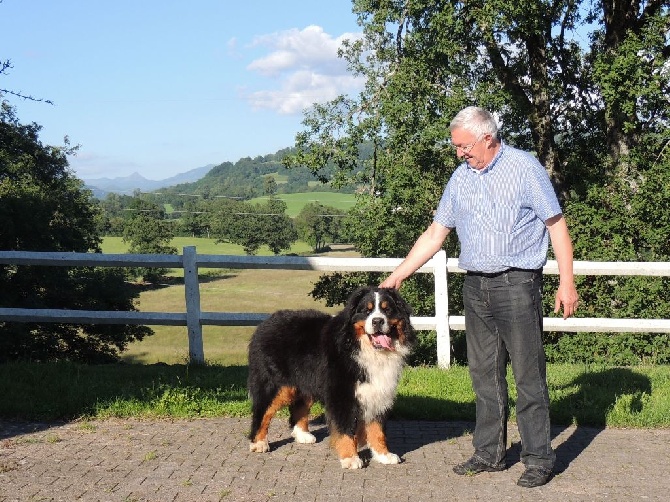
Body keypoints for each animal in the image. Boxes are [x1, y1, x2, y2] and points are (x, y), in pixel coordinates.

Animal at [247, 288, 414, 468]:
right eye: (366, 311)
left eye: (387, 310)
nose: (377, 321)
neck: (360, 346)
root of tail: (264, 324)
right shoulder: (342, 395)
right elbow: (346, 429)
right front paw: (351, 458)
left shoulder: (378, 393)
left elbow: (377, 430)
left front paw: (384, 455)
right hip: (277, 385)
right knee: (263, 412)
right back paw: (259, 443)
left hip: (306, 382)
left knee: (299, 407)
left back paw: (302, 435)